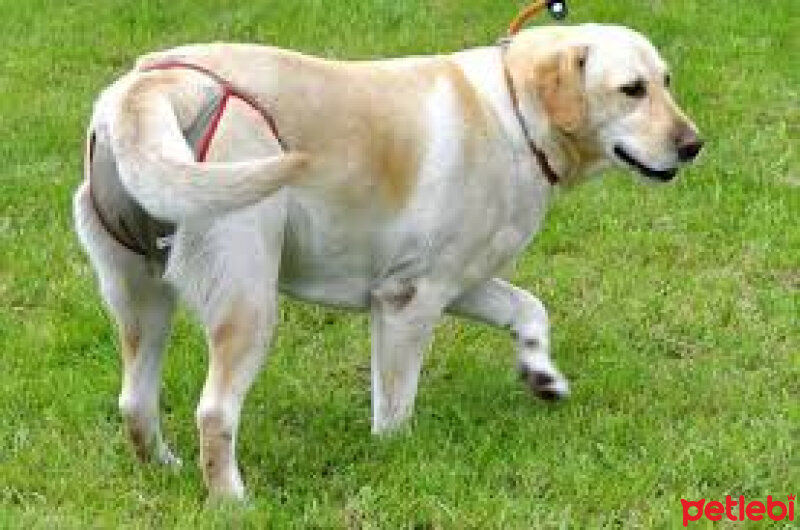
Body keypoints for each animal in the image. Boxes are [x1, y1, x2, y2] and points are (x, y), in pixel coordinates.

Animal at [73, 22, 700, 498]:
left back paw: (164, 469)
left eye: (667, 81)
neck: (516, 116)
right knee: (215, 413)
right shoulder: (409, 301)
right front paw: (396, 459)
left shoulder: (458, 281)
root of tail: (153, 86)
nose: (694, 146)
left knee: (135, 402)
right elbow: (394, 406)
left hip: (143, 301)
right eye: (632, 89)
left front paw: (540, 375)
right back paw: (233, 502)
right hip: (248, 301)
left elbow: (530, 309)